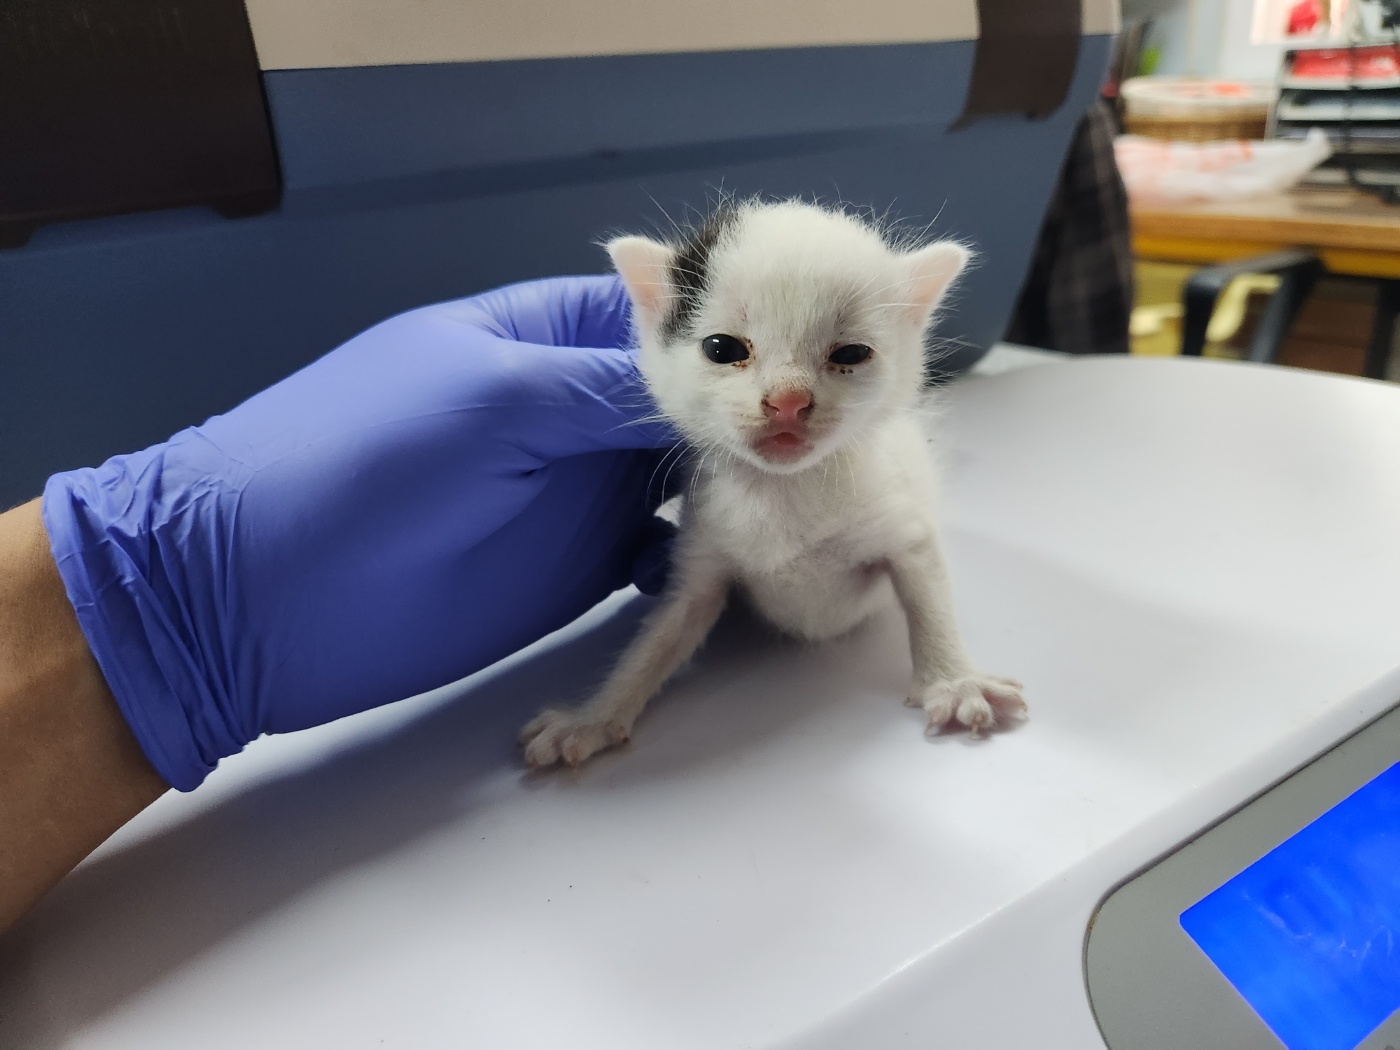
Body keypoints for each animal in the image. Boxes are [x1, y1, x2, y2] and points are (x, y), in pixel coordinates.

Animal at [520, 198, 1024, 772]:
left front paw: (955, 681)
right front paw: (593, 718)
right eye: (722, 348)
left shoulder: (904, 525)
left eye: (851, 354)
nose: (788, 399)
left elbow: (927, 593)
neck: (784, 488)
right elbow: (661, 637)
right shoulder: (702, 553)